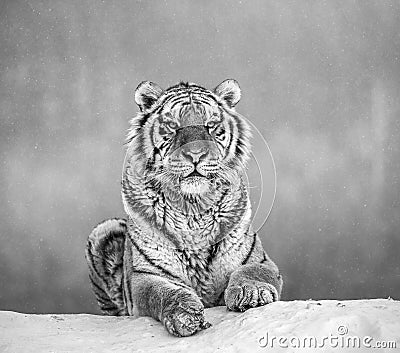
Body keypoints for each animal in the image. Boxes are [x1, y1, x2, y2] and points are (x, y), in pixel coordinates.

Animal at [85, 80, 282, 336]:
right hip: (104, 231)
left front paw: (253, 293)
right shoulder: (145, 277)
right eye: (173, 126)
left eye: (210, 125)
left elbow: (251, 271)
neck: (193, 207)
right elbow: (163, 292)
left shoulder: (259, 260)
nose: (195, 154)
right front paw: (185, 314)